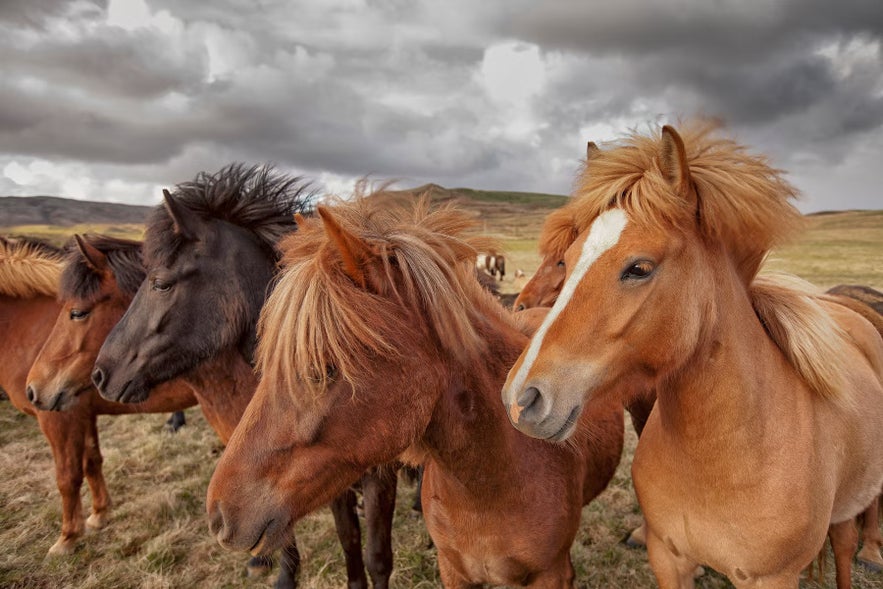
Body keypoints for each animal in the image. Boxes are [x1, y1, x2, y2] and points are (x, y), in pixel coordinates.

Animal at [0, 236, 197, 556]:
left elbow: (67, 477)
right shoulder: (82, 413)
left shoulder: (58, 419)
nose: (34, 390)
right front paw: (99, 514)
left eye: (77, 313)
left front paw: (67, 537)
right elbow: (92, 461)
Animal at [91, 164, 397, 589]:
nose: (102, 373)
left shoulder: (381, 476)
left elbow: (377, 557)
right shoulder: (329, 474)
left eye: (161, 283)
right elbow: (349, 543)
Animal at [501, 121, 883, 589]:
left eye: (639, 268)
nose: (521, 399)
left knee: (845, 546)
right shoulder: (668, 558)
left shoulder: (772, 577)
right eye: (568, 261)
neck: (721, 460)